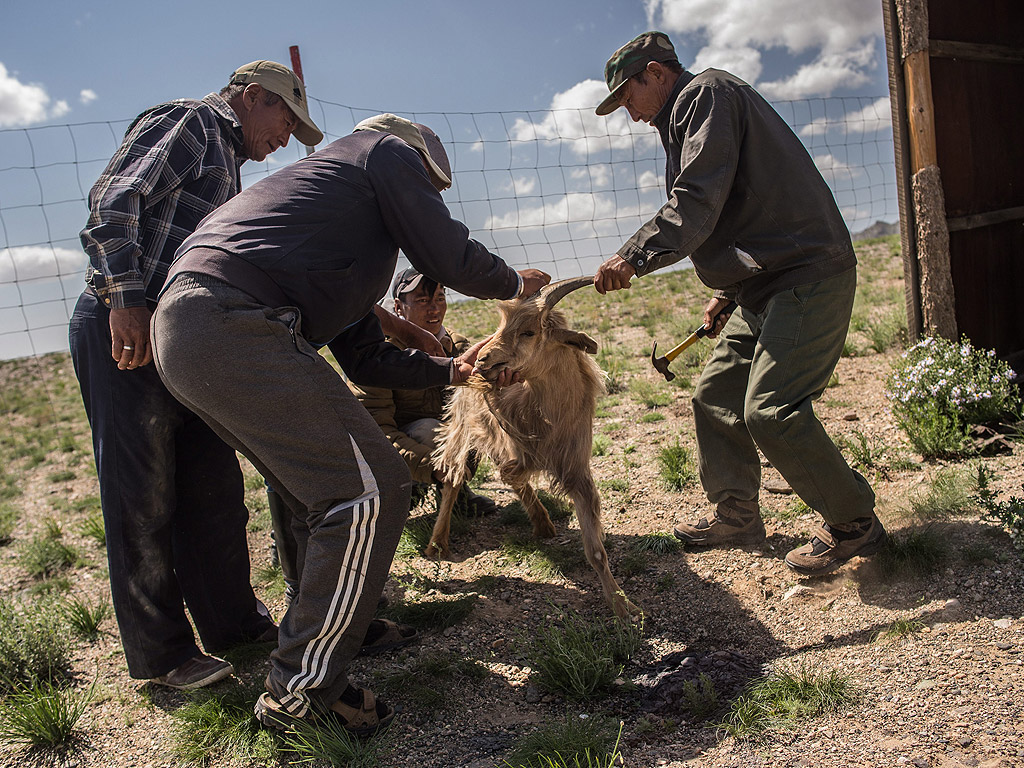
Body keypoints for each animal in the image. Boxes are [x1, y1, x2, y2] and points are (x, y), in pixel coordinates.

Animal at [428, 274, 634, 618]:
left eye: (528, 332)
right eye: (503, 325)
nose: (482, 360)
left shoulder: (576, 468)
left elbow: (595, 550)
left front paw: (622, 605)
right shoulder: (515, 447)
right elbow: (510, 473)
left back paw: (543, 524)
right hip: (461, 425)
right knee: (453, 479)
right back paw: (437, 544)